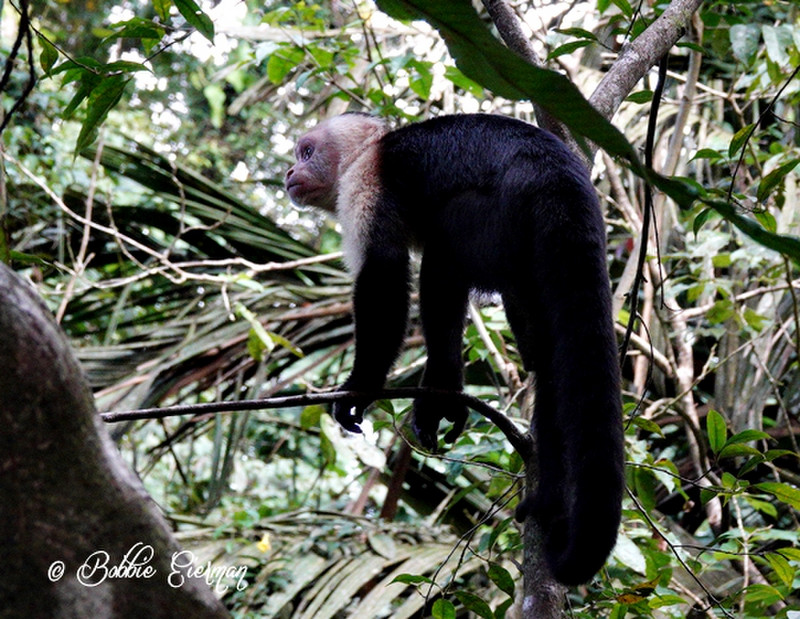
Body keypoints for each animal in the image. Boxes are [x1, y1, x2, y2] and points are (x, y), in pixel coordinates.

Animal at [286, 112, 624, 588]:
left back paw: (440, 389)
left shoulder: (367, 182)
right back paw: (546, 496)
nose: (288, 172)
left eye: (307, 152)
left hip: (500, 216)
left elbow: (384, 275)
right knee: (547, 352)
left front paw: (360, 387)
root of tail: (560, 176)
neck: (370, 150)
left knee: (444, 253)